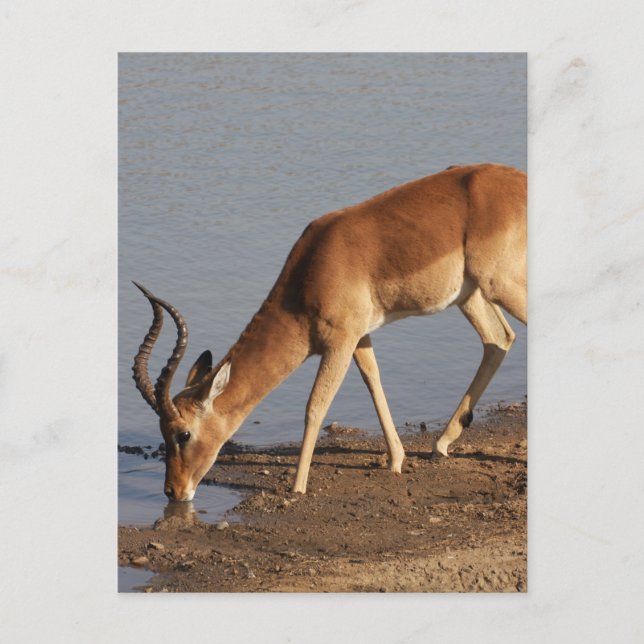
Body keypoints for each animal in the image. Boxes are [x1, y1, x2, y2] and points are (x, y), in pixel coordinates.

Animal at [132, 163, 527, 501]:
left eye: (183, 434)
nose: (174, 491)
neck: (311, 270)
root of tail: (519, 181)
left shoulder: (338, 342)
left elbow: (315, 406)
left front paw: (297, 486)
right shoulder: (358, 336)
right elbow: (373, 380)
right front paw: (396, 460)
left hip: (500, 286)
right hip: (471, 294)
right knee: (498, 339)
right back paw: (441, 444)